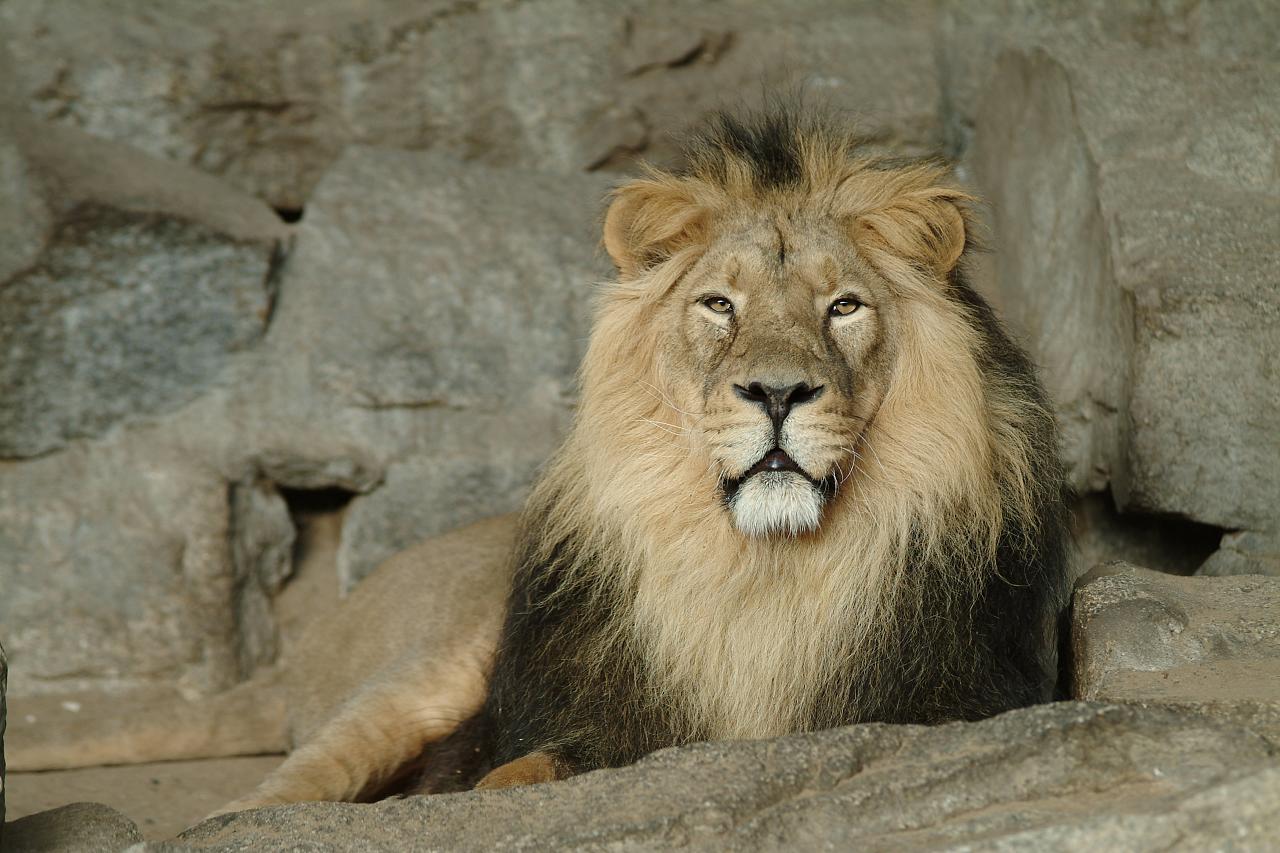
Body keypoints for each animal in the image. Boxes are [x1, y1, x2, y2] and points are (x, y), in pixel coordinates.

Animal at [218, 106, 1071, 812]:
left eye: (844, 306)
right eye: (720, 304)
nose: (777, 392)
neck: (763, 577)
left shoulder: (966, 698)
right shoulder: (573, 720)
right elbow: (503, 777)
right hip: (421, 673)